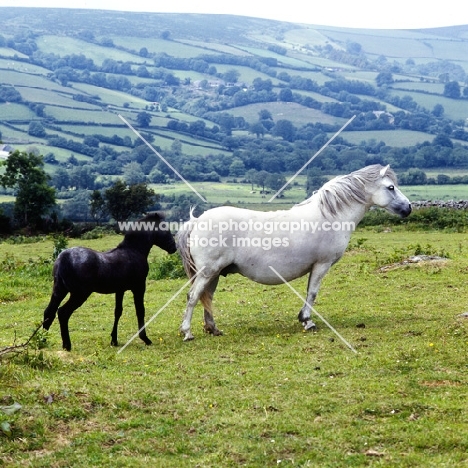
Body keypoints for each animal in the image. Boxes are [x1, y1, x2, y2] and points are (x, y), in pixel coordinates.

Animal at [177, 165, 412, 340]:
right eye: (391, 187)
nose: (408, 207)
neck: (331, 216)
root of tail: (197, 220)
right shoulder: (321, 265)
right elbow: (312, 293)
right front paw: (307, 321)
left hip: (214, 274)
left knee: (206, 297)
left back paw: (213, 329)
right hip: (208, 272)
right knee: (193, 296)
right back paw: (187, 332)